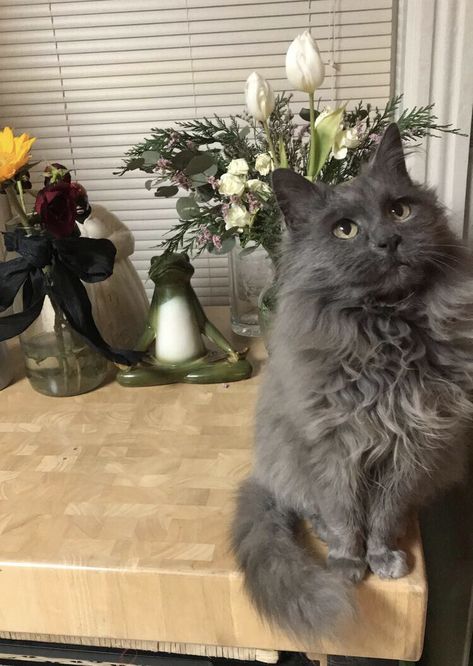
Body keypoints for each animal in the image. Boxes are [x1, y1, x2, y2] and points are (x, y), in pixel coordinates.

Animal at [232, 122, 472, 636]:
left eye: (399, 210)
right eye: (345, 230)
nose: (387, 241)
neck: (388, 335)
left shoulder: (412, 446)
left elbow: (383, 513)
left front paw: (382, 556)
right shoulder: (334, 445)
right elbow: (343, 511)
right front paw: (347, 561)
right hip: (287, 458)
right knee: (309, 506)